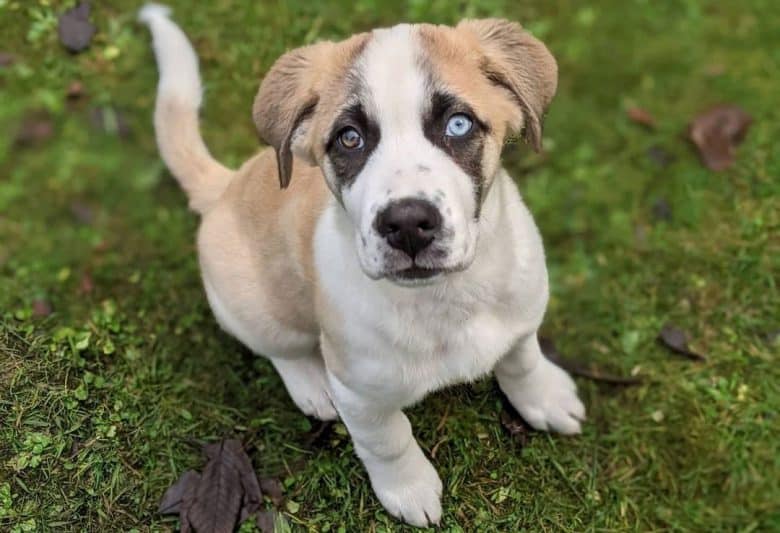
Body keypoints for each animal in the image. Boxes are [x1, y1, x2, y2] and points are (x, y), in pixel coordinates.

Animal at [140, 4, 584, 524]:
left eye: (458, 125)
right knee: (279, 347)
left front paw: (545, 398)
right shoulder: (360, 392)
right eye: (349, 139)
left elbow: (523, 361)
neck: (445, 299)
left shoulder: (520, 319)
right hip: (255, 307)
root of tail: (225, 187)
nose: (407, 224)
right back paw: (311, 385)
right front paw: (408, 489)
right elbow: (388, 440)